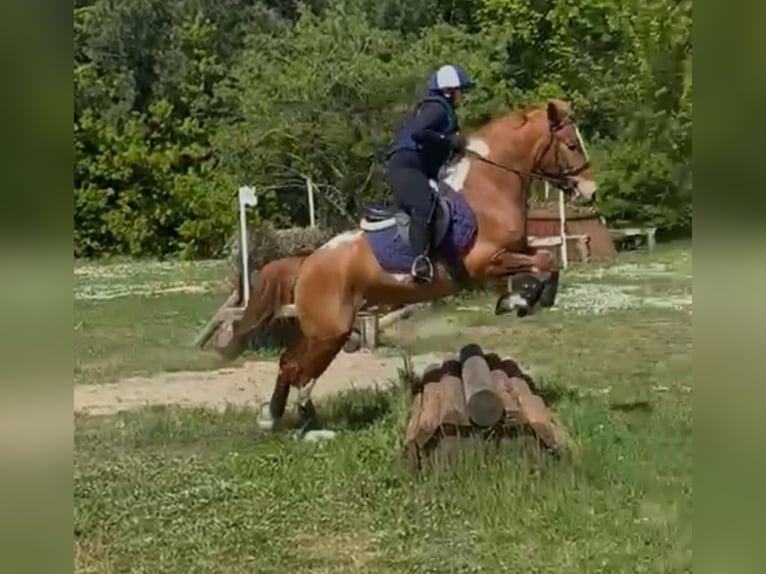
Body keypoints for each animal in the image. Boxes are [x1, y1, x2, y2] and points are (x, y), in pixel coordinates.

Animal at [215, 99, 596, 431]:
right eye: (572, 145)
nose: (590, 192)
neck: (488, 189)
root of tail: (307, 261)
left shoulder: (517, 249)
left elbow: (548, 260)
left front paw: (526, 299)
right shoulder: (488, 262)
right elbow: (543, 261)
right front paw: (520, 300)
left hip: (321, 330)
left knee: (290, 364)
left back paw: (278, 418)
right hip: (329, 330)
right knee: (298, 370)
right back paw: (299, 423)